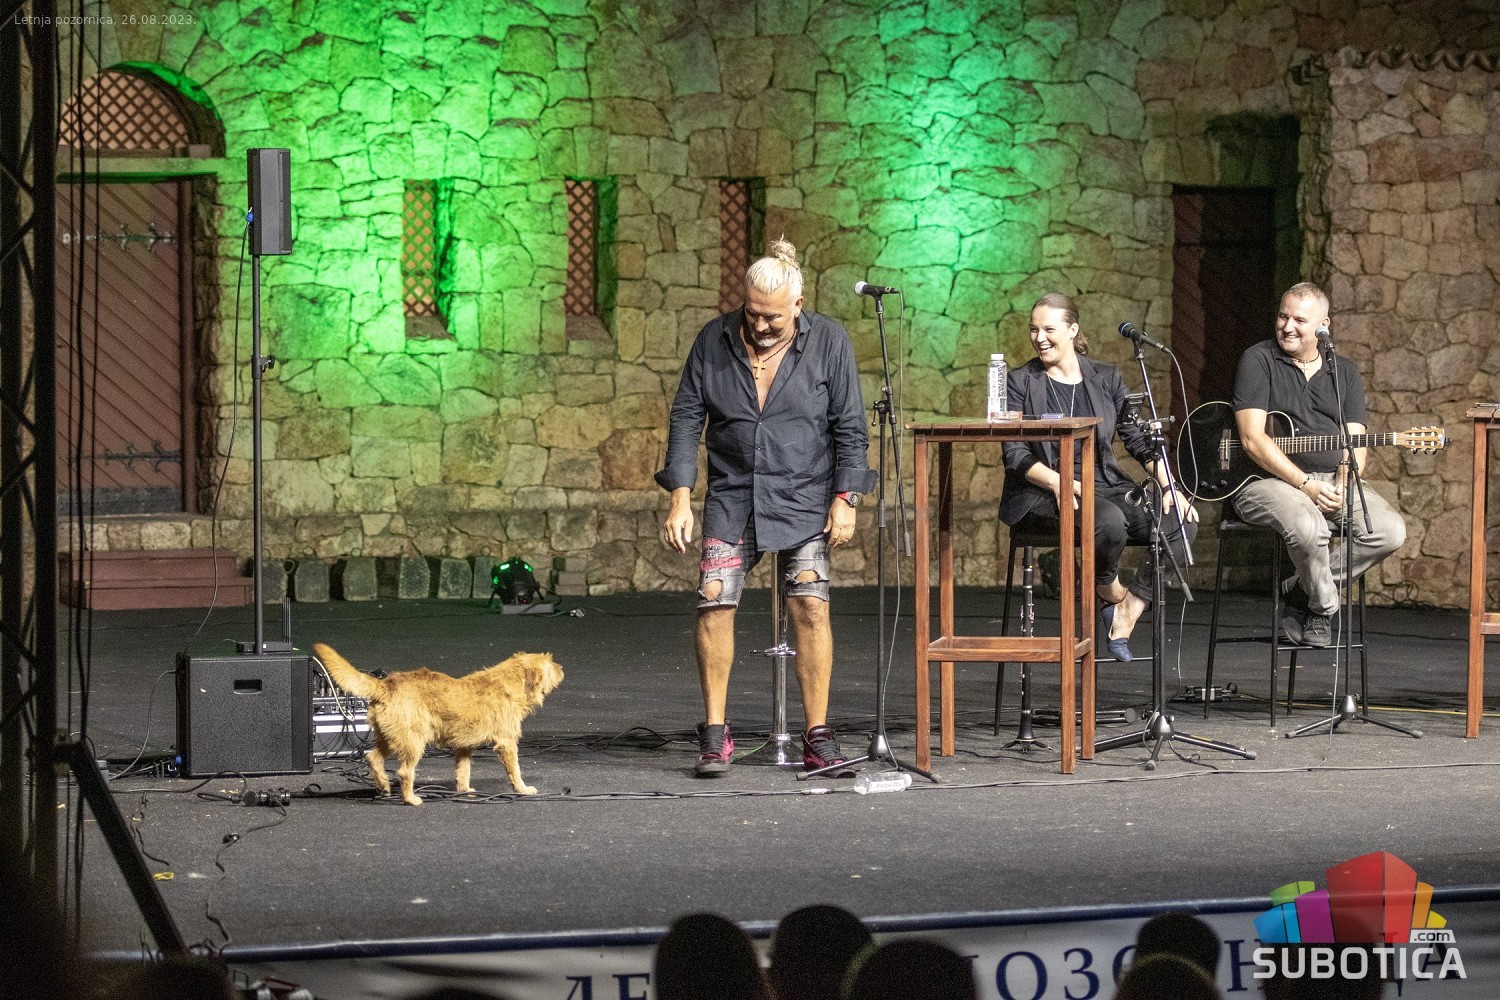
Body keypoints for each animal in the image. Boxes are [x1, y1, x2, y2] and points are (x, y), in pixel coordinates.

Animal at [313, 643, 563, 805]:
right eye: (550, 664)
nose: (562, 668)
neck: (510, 681)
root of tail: (387, 684)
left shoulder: (464, 747)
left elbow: (463, 771)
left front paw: (464, 791)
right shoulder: (507, 743)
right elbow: (515, 770)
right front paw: (523, 789)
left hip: (388, 737)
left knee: (373, 757)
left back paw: (384, 785)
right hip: (414, 742)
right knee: (404, 772)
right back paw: (411, 799)